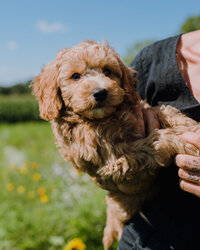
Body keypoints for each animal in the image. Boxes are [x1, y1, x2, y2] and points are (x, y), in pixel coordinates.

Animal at [32, 40, 200, 249]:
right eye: (75, 76)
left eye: (107, 71)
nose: (100, 92)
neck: (106, 118)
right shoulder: (116, 159)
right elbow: (158, 140)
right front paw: (187, 144)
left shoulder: (140, 107)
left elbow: (165, 110)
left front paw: (193, 129)